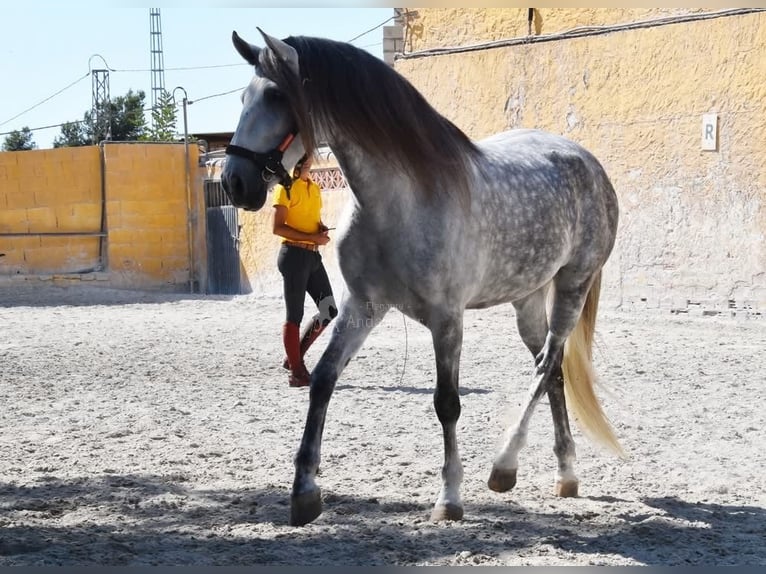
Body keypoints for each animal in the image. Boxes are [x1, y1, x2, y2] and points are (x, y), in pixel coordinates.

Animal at [221, 29, 623, 527]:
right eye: (244, 97)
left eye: (277, 96)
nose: (234, 183)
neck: (399, 201)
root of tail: (589, 163)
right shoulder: (362, 306)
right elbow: (323, 380)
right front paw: (304, 491)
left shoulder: (447, 318)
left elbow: (446, 402)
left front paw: (449, 498)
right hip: (527, 298)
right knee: (551, 374)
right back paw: (565, 474)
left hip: (573, 284)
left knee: (547, 365)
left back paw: (504, 466)